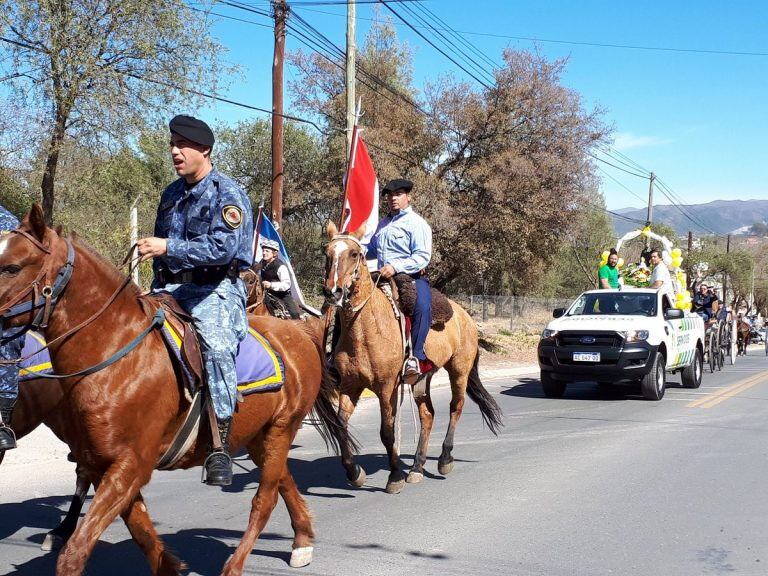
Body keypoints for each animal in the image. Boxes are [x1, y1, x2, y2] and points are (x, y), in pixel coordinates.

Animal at [0, 207, 348, 576]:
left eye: (12, 267)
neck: (117, 355)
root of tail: (298, 333)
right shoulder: (103, 465)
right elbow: (140, 529)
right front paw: (170, 566)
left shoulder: (130, 465)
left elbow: (77, 551)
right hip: (259, 438)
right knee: (284, 480)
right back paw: (302, 540)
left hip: (282, 429)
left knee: (264, 499)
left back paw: (236, 565)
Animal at [320, 223, 504, 492]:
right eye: (327, 252)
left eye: (354, 254)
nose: (333, 291)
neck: (366, 329)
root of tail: (466, 317)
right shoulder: (350, 386)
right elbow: (341, 426)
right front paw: (355, 472)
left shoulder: (387, 388)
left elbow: (387, 432)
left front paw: (394, 476)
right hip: (422, 377)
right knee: (427, 414)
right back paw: (417, 467)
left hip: (459, 370)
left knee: (455, 407)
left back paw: (444, 459)